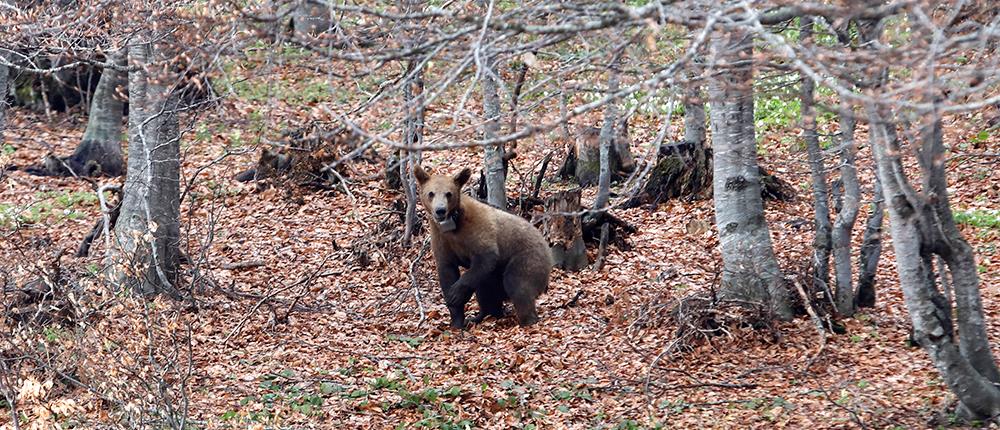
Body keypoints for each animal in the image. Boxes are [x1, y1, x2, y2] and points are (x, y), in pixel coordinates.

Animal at [414, 166, 556, 328]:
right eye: (431, 193)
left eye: (448, 193)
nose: (440, 210)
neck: (453, 226)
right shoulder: (442, 241)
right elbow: (447, 272)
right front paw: (456, 320)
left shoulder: (478, 232)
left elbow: (485, 258)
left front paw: (456, 294)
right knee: (487, 290)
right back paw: (481, 316)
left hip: (527, 257)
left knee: (518, 285)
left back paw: (526, 320)